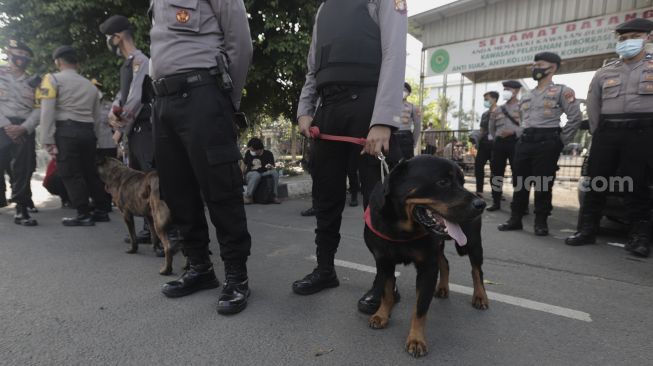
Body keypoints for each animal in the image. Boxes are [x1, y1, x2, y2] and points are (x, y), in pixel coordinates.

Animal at [364, 154, 486, 358]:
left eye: (462, 182)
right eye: (443, 182)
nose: (481, 204)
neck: (402, 229)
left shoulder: (427, 267)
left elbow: (420, 308)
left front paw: (416, 339)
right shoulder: (383, 261)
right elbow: (386, 290)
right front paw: (382, 314)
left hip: (473, 242)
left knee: (477, 270)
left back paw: (480, 296)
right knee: (445, 262)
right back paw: (443, 288)